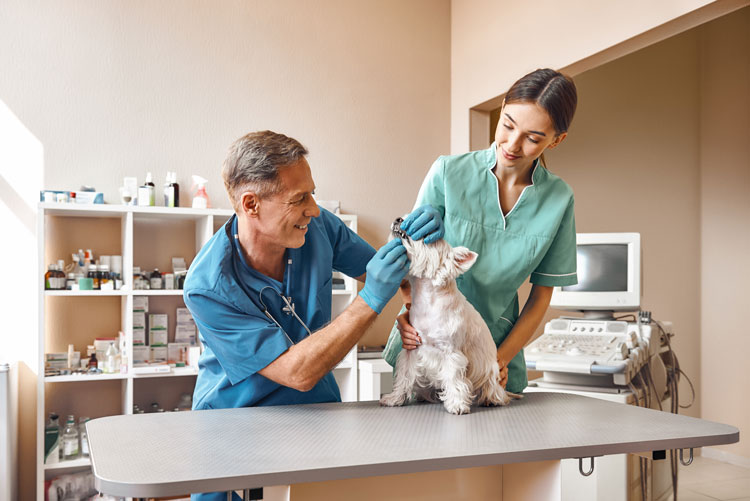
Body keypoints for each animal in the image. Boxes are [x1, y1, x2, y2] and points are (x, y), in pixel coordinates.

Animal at [378, 219, 520, 414]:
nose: (399, 219)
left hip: (490, 372)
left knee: (493, 389)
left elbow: (454, 379)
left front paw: (457, 404)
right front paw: (394, 398)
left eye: (427, 235)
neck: (427, 301)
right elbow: (404, 375)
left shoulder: (451, 353)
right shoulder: (411, 349)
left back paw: (491, 399)